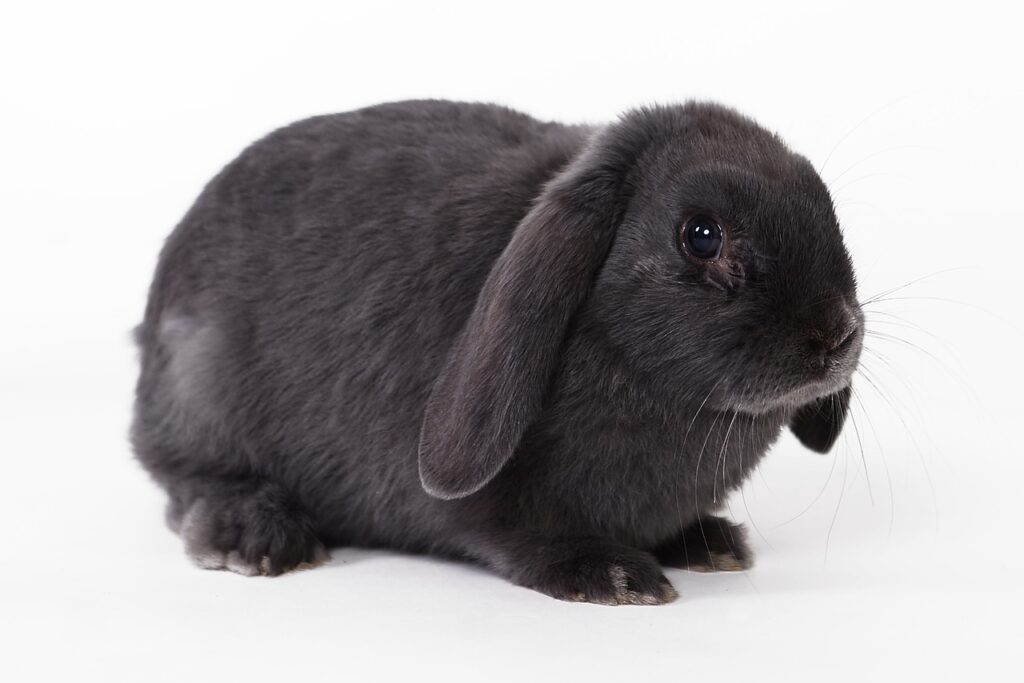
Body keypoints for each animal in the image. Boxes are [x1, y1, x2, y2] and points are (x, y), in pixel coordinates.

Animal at [132, 99, 862, 605]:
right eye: (702, 235)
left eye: (827, 209)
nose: (836, 334)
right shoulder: (497, 506)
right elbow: (516, 533)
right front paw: (614, 575)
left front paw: (708, 541)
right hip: (200, 399)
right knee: (186, 480)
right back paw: (258, 538)